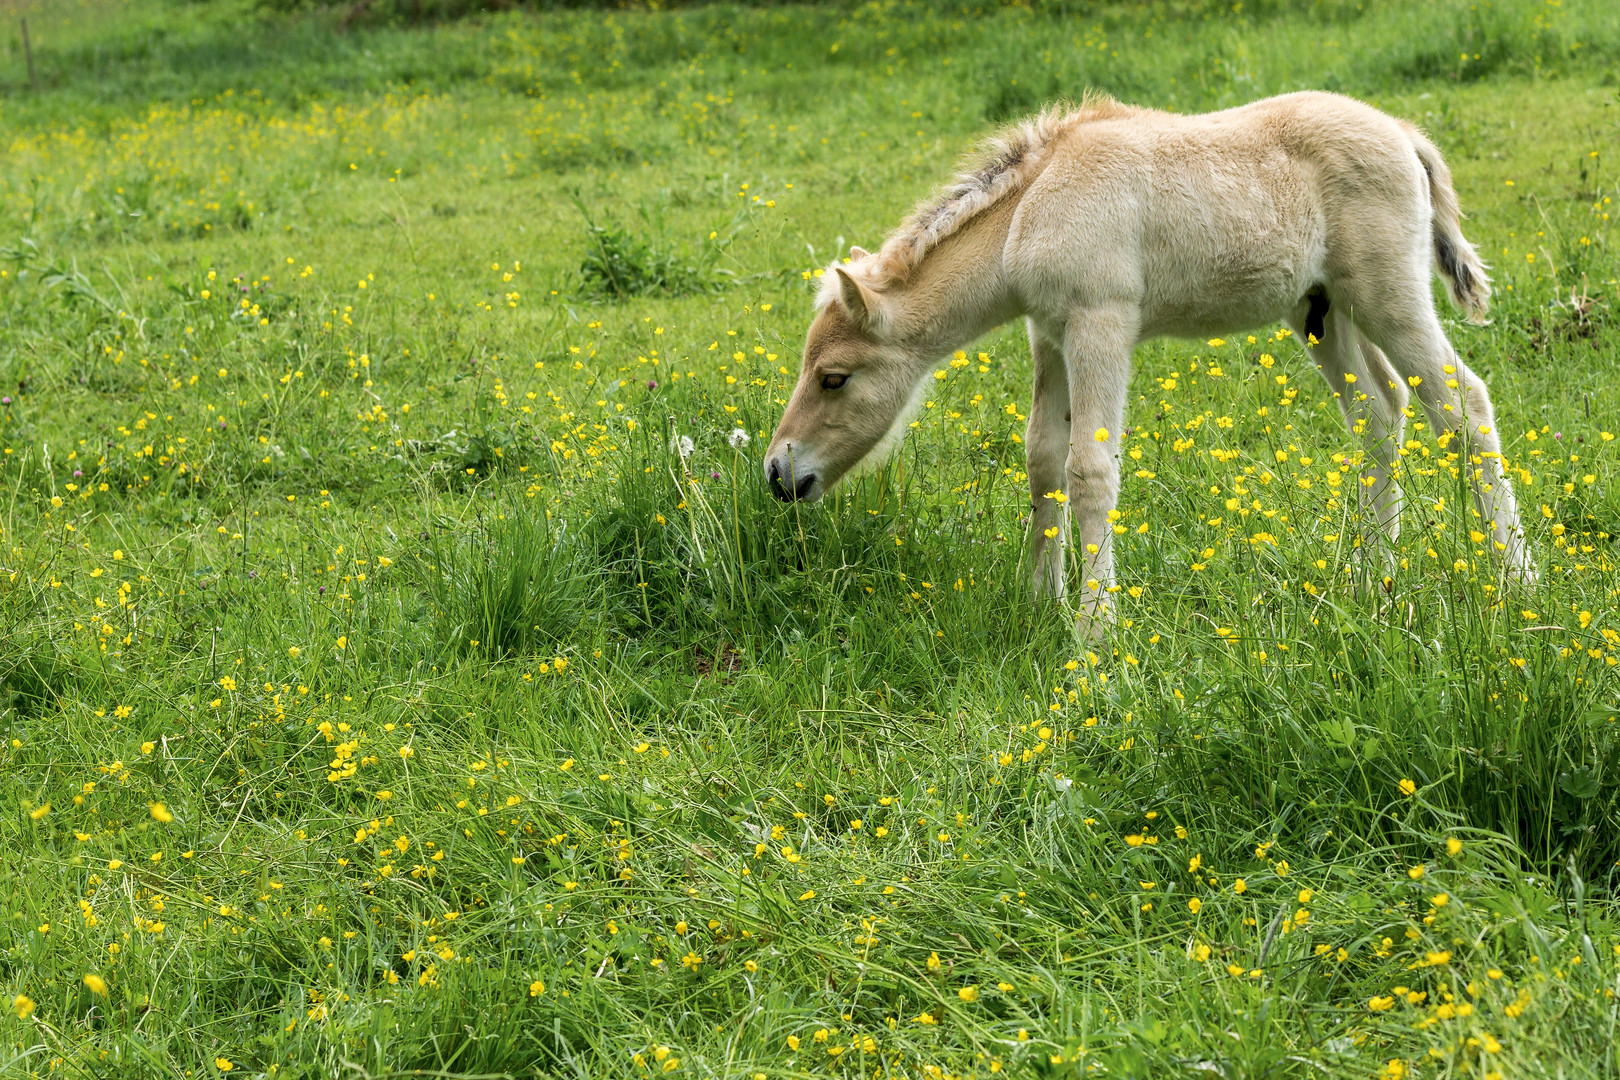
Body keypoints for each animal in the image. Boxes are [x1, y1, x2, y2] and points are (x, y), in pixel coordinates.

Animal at [764, 91, 1535, 621]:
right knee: (1380, 414)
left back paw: (1517, 580)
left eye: (834, 378)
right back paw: (1372, 578)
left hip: (1386, 293)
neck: (1031, 209)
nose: (778, 472)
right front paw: (1040, 600)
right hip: (1322, 311)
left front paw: (1094, 630)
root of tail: (1403, 133)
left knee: (1462, 405)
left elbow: (1089, 470)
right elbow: (1043, 459)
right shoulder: (1050, 333)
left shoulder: (1100, 322)